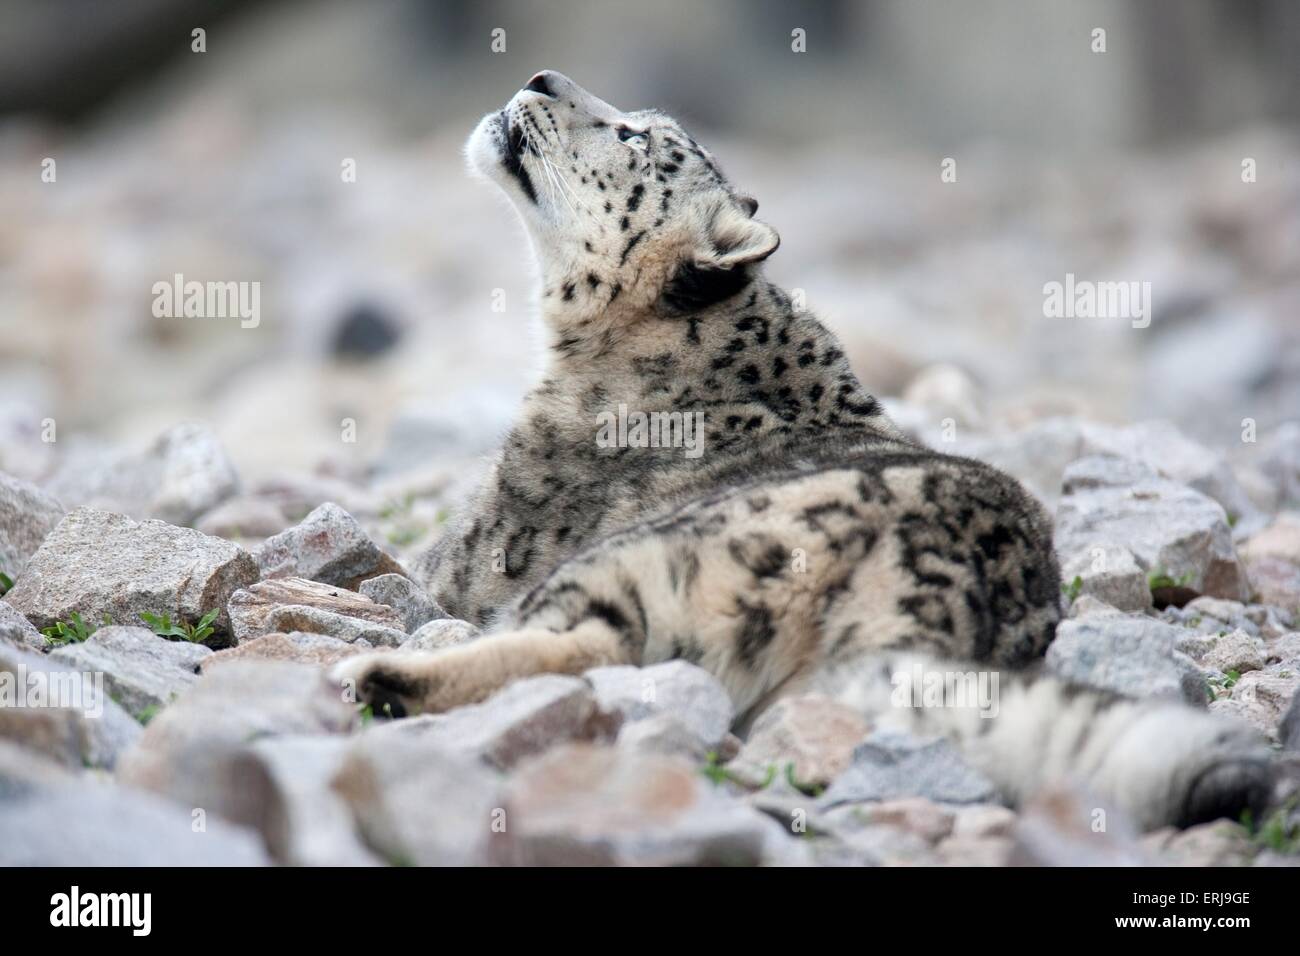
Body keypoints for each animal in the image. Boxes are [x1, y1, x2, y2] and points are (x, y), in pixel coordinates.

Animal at [332, 70, 1268, 832]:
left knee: (583, 646)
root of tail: (927, 588)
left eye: (636, 139)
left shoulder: (478, 546)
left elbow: (416, 570)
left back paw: (383, 675)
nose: (538, 76)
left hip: (638, 561)